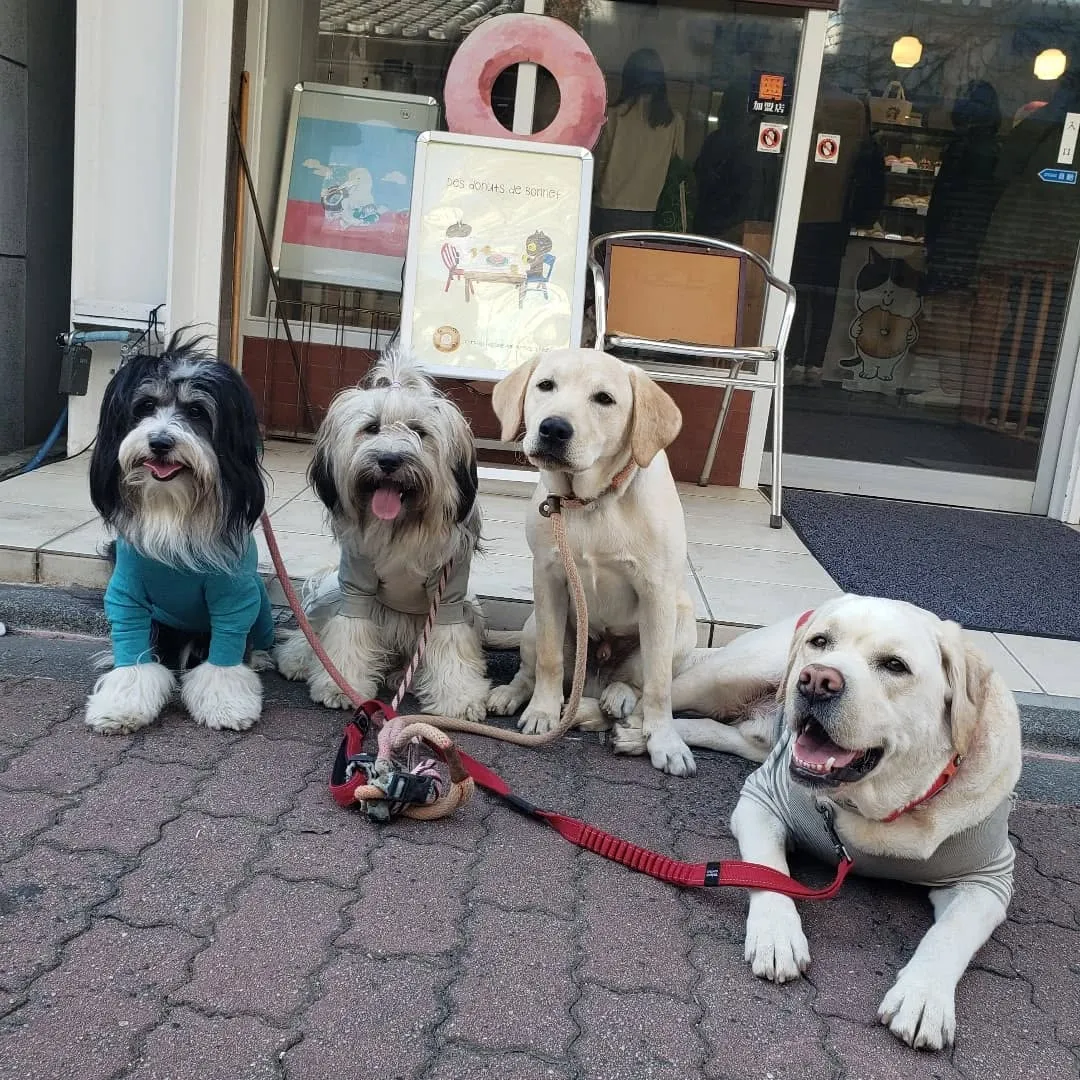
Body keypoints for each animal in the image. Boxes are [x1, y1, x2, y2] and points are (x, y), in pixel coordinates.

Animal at [86, 328, 276, 734]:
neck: (173, 510)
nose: (160, 442)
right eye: (144, 406)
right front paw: (119, 707)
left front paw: (227, 705)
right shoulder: (127, 597)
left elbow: (224, 659)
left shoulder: (234, 597)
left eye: (196, 412)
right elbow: (133, 658)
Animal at [274, 345, 490, 717]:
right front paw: (341, 685)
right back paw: (299, 659)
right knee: (312, 633)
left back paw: (401, 675)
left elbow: (450, 644)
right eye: (371, 428)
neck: (401, 528)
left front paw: (459, 697)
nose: (389, 460)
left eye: (419, 431)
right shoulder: (356, 586)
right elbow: (348, 632)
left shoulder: (449, 595)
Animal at [490, 347, 699, 777]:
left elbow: (658, 684)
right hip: (533, 623)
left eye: (604, 399)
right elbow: (550, 660)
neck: (590, 501)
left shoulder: (656, 592)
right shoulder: (548, 578)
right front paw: (542, 711)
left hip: (683, 627)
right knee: (530, 668)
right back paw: (512, 694)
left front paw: (665, 740)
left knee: (637, 680)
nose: (553, 428)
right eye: (545, 385)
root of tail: (596, 678)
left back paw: (618, 696)